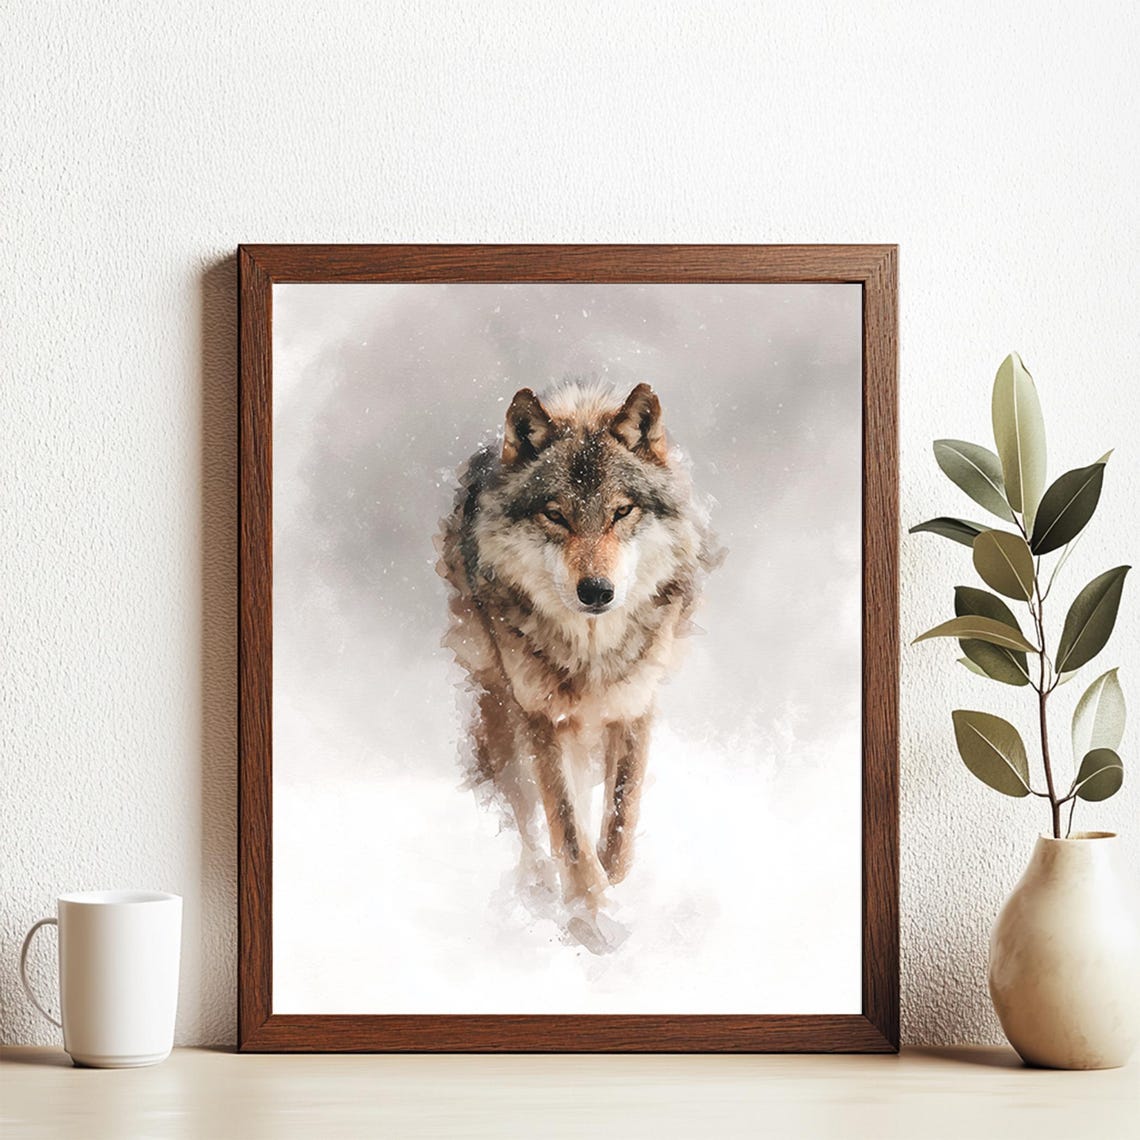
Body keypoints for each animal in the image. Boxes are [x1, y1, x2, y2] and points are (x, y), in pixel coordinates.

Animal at [438, 381, 717, 918]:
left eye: (621, 511)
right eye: (556, 515)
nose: (596, 591)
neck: (592, 653)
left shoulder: (634, 707)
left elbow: (622, 820)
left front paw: (613, 890)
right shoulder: (541, 715)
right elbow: (566, 824)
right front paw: (590, 909)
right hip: (497, 703)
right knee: (519, 807)